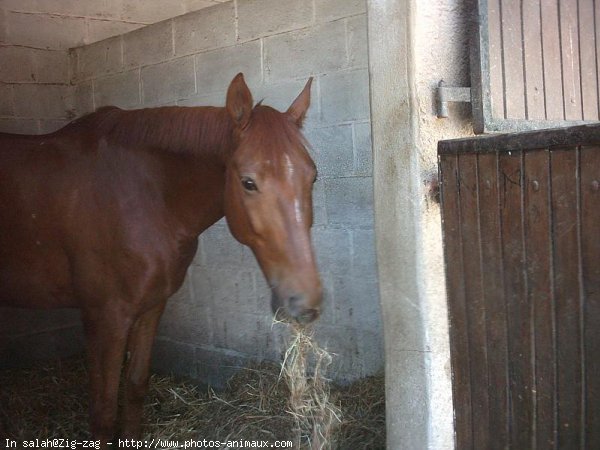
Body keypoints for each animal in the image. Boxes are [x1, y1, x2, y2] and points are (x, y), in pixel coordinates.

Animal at [0, 74, 324, 442]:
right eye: (248, 182)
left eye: (313, 176)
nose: (306, 300)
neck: (141, 197)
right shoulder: (105, 319)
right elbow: (103, 413)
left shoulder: (152, 306)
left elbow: (135, 386)